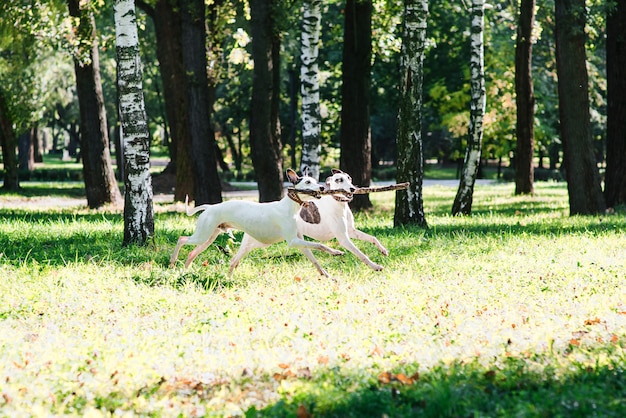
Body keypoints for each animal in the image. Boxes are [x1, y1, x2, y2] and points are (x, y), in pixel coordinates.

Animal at [168, 168, 342, 276]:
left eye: (314, 180)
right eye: (307, 182)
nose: (321, 187)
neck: (289, 207)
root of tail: (210, 207)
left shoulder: (300, 242)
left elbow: (315, 260)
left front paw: (327, 275)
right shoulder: (293, 241)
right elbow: (320, 245)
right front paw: (336, 252)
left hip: (208, 238)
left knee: (193, 254)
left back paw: (187, 270)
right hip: (202, 235)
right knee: (181, 239)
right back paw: (172, 261)